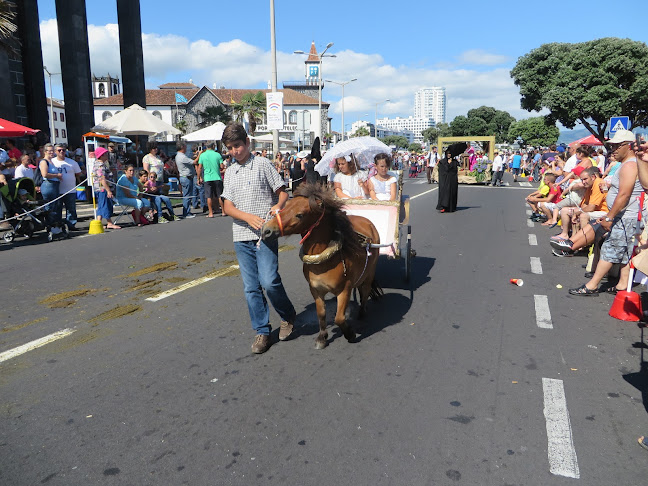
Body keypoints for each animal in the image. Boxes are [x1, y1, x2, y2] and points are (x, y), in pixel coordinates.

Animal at [260, 183, 382, 350]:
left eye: (300, 215)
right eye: (285, 207)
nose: (266, 230)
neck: (325, 261)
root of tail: (367, 222)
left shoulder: (344, 290)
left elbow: (338, 318)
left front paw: (350, 334)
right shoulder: (316, 290)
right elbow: (321, 314)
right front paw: (322, 337)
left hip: (370, 272)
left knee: (365, 292)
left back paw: (362, 312)